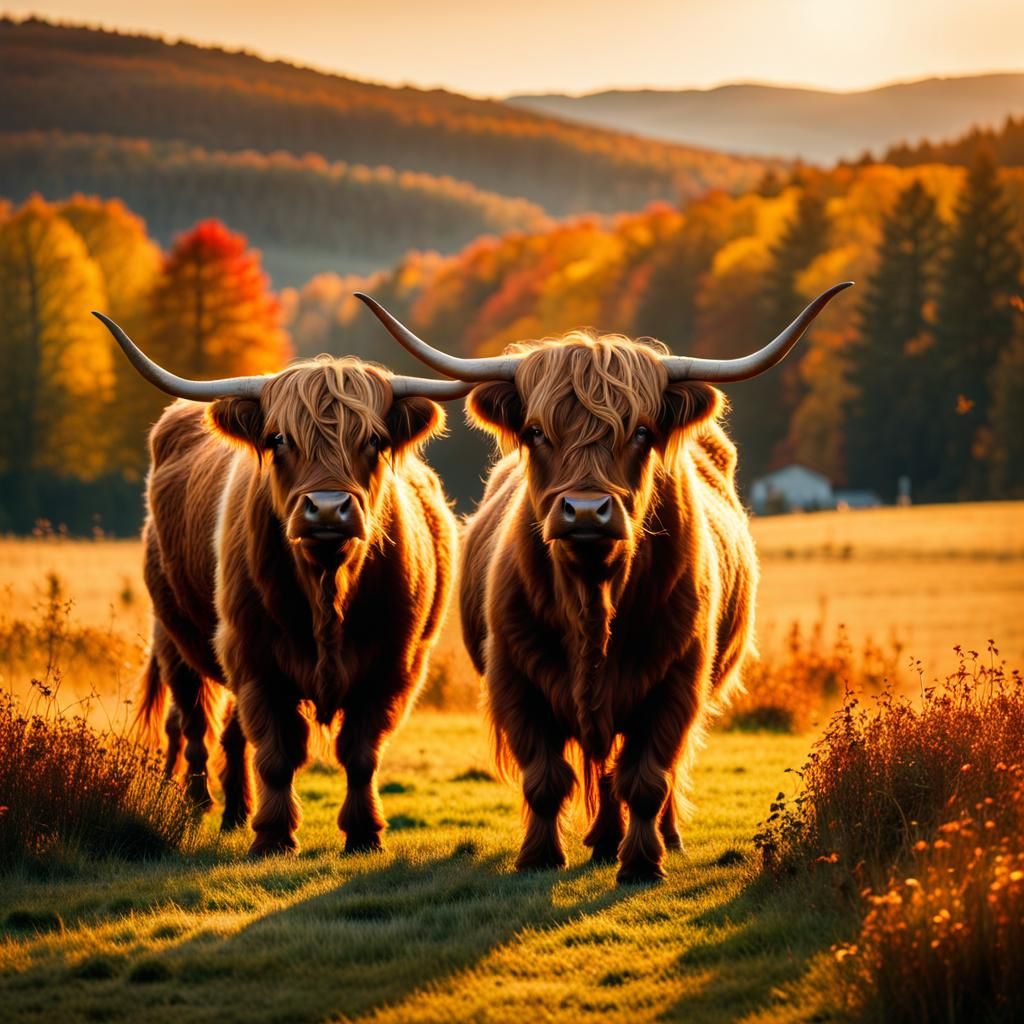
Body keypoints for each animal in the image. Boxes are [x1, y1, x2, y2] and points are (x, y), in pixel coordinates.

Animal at [93, 313, 468, 857]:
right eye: (279, 439)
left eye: (373, 440)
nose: (328, 509)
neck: (328, 589)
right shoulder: (254, 657)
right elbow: (276, 750)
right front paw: (272, 835)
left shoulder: (395, 664)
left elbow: (361, 751)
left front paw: (364, 833)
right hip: (175, 634)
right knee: (193, 720)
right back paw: (196, 805)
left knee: (230, 732)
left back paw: (234, 810)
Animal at [355, 283, 852, 883]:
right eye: (537, 431)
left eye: (640, 431)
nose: (587, 512)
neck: (593, 601)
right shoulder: (515, 678)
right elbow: (546, 778)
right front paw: (540, 857)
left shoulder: (678, 681)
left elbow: (646, 778)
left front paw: (641, 864)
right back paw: (601, 839)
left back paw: (656, 838)